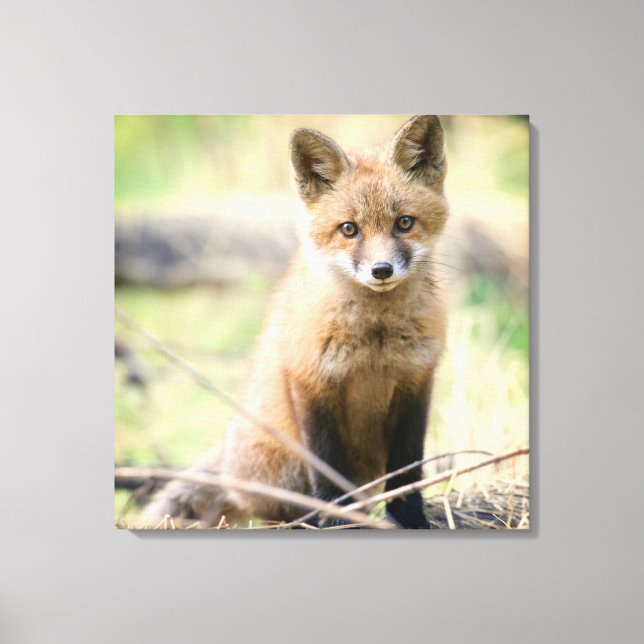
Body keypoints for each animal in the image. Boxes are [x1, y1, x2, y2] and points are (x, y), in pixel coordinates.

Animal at [141, 115, 449, 529]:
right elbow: (327, 470)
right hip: (281, 467)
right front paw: (335, 520)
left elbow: (408, 469)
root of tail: (230, 467)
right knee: (275, 510)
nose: (381, 270)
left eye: (404, 223)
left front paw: (411, 517)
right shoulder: (310, 381)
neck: (375, 343)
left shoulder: (416, 383)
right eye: (349, 229)